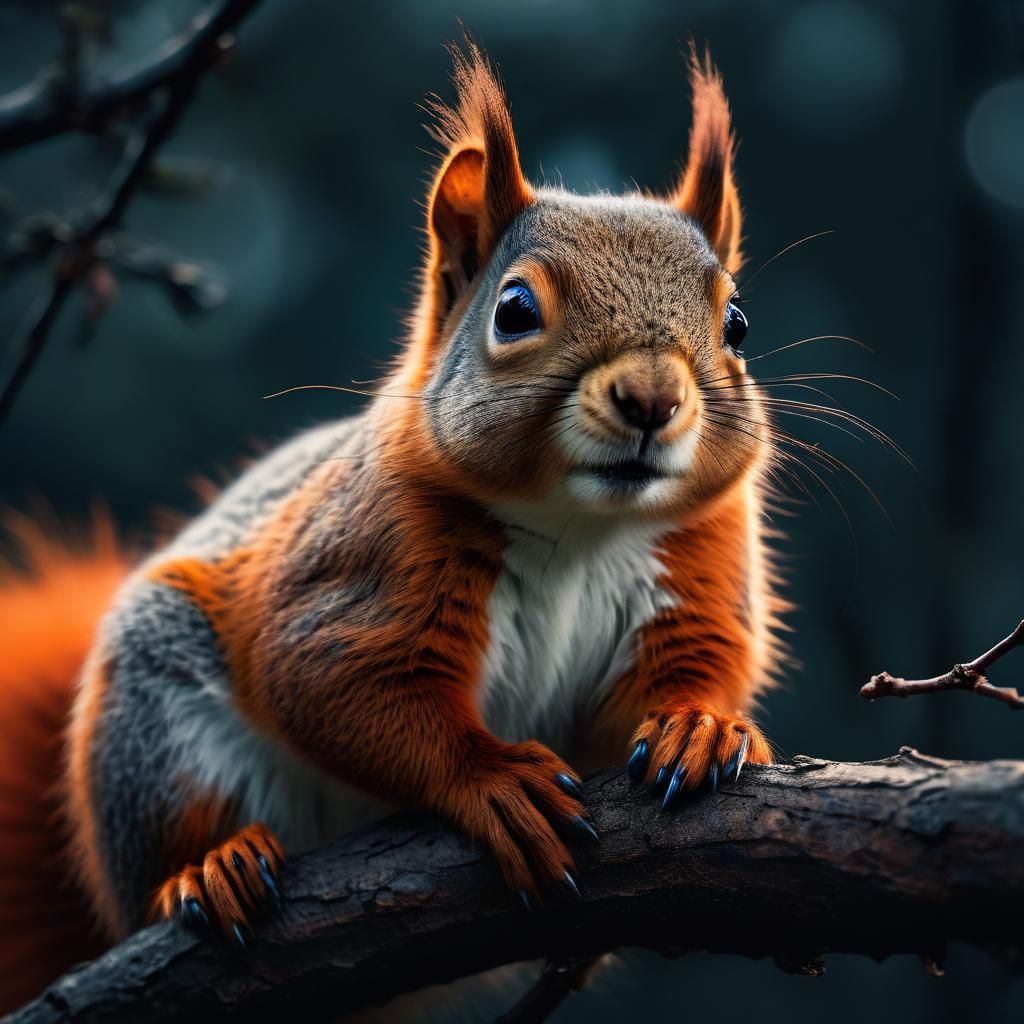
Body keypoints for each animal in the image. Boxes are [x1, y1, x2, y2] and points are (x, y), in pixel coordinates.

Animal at [0, 43, 785, 1013]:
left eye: (737, 323)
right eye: (514, 311)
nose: (652, 399)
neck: (580, 526)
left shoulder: (697, 564)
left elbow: (696, 661)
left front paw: (701, 724)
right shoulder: (361, 573)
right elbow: (349, 691)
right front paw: (489, 778)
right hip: (158, 735)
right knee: (162, 857)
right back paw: (211, 869)